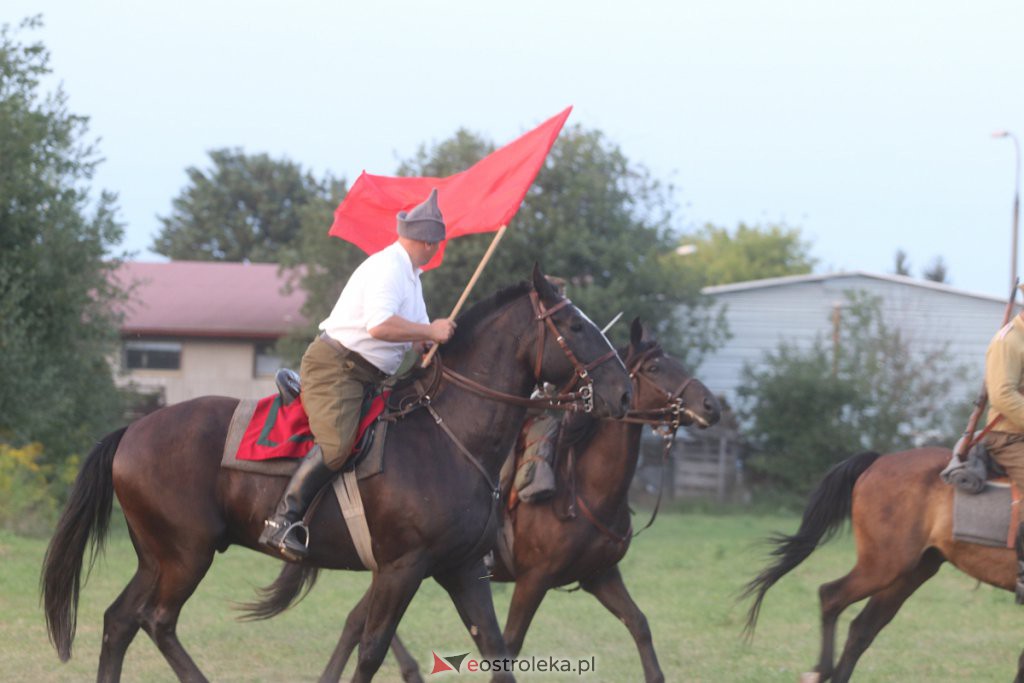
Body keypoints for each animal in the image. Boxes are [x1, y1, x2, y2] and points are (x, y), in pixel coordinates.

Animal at [41, 268, 630, 683]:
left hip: (157, 556)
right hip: (187, 555)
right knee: (157, 621)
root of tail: (133, 430)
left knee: (120, 621)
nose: (623, 392)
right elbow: (370, 651)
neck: (449, 435)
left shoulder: (463, 569)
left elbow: (496, 651)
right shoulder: (401, 569)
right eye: (575, 326)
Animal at [249, 317, 720, 679]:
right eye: (656, 367)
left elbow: (639, 625)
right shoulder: (533, 580)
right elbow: (511, 643)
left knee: (353, 622)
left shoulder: (600, 575)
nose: (711, 406)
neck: (585, 485)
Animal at [745, 448, 1024, 683]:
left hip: (910, 572)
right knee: (831, 596)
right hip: (883, 567)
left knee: (862, 628)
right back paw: (820, 671)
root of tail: (878, 460)